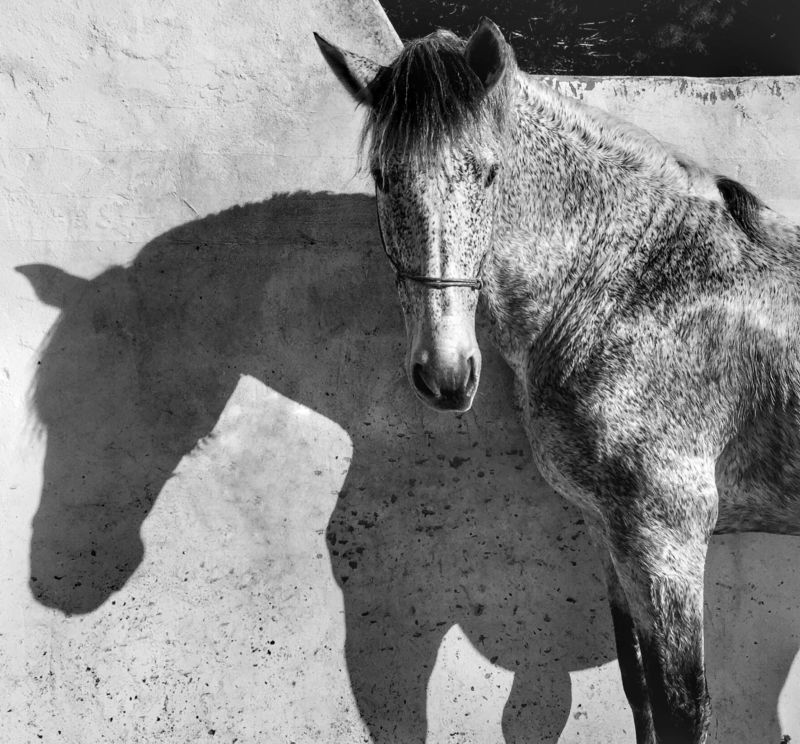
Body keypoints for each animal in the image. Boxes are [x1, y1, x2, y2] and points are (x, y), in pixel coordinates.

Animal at [316, 17, 800, 744]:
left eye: (489, 173)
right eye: (382, 177)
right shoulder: (611, 536)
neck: (630, 286)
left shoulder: (669, 541)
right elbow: (639, 694)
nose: (445, 373)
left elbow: (681, 711)